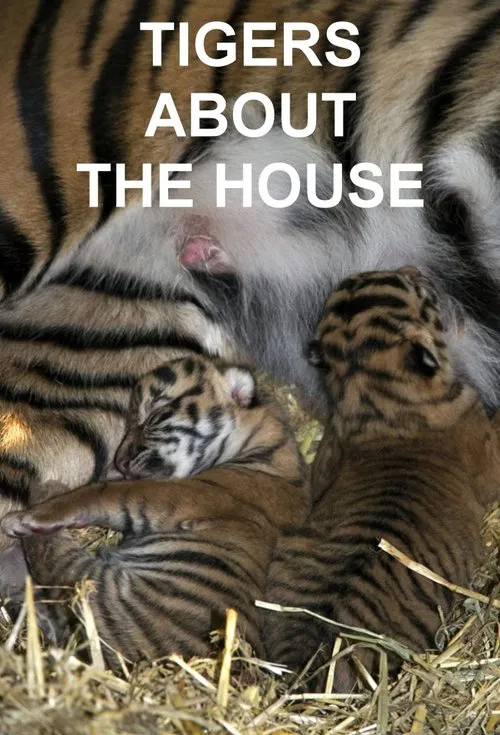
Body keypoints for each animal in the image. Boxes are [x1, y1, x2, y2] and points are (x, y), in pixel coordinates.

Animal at [1, 354, 309, 664]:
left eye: (154, 418)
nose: (121, 461)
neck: (268, 449)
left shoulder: (178, 495)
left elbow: (99, 494)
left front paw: (28, 516)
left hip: (88, 586)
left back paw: (38, 498)